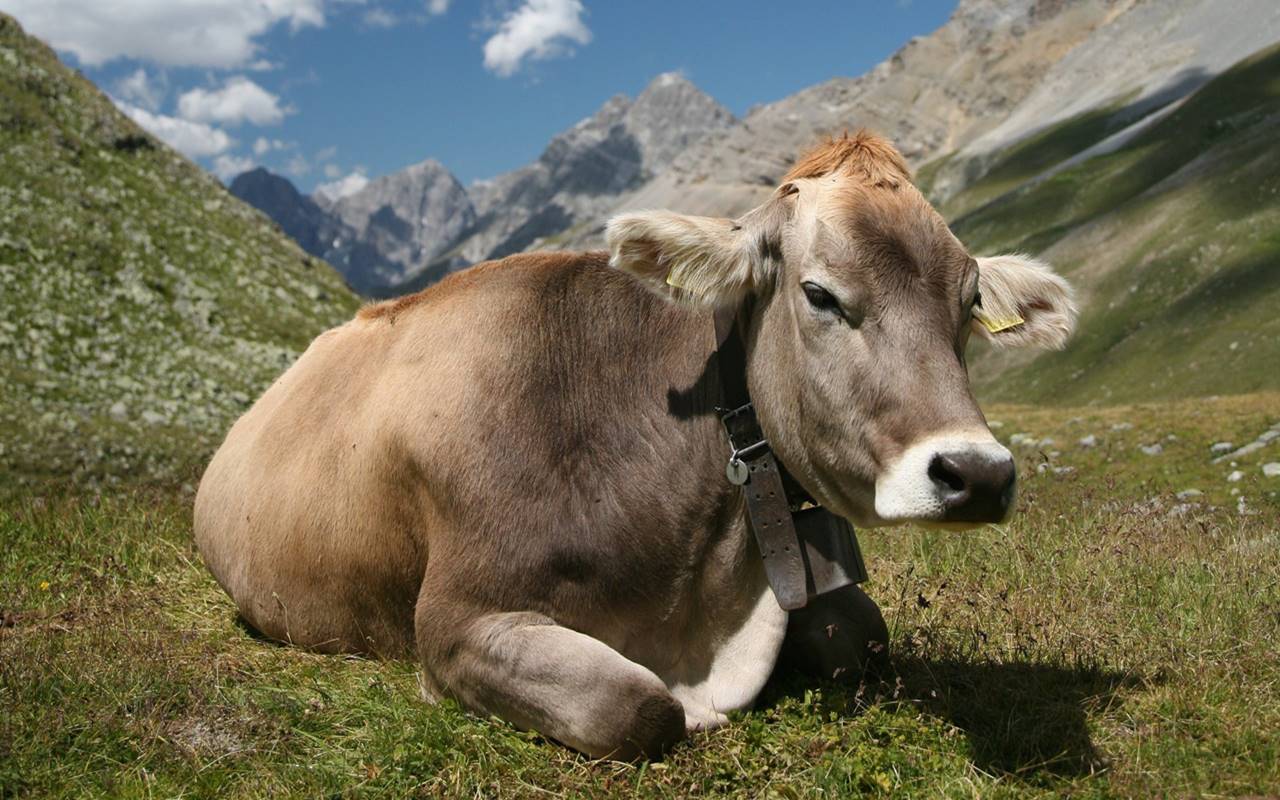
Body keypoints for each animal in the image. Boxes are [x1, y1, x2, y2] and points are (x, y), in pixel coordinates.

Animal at [195, 132, 1076, 760]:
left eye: (969, 302)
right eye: (820, 294)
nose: (976, 474)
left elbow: (863, 636)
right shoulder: (456, 621)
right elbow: (639, 708)